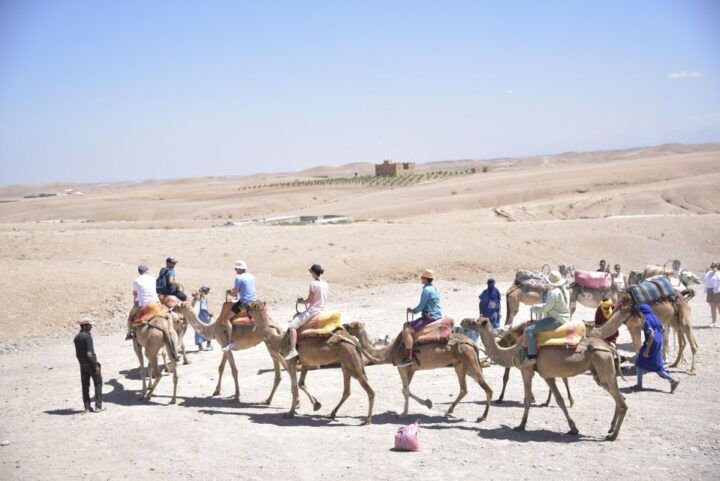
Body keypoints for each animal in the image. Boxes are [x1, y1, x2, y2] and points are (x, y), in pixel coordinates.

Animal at [245, 300, 374, 424]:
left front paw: (290, 413)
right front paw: (316, 404)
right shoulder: (305, 363)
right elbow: (301, 384)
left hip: (351, 362)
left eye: (252, 305)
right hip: (346, 364)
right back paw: (332, 413)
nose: (244, 305)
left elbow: (294, 388)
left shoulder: (291, 363)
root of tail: (354, 341)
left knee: (369, 390)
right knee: (347, 391)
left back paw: (367, 421)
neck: (279, 340)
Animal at [344, 320, 492, 422]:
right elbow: (405, 390)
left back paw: (482, 417)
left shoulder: (402, 367)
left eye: (352, 325)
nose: (344, 326)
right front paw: (423, 405)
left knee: (487, 388)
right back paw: (449, 411)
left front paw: (407, 412)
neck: (389, 352)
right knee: (464, 389)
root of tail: (472, 343)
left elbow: (405, 390)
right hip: (460, 365)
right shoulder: (411, 369)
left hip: (469, 362)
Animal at [462, 314, 624, 440]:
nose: (463, 321)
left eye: (475, 322)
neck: (512, 350)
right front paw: (573, 428)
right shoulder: (547, 375)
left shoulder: (526, 370)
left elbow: (527, 399)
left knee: (621, 402)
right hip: (601, 373)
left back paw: (613, 435)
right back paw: (610, 429)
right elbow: (559, 400)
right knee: (619, 397)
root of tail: (609, 348)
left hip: (603, 366)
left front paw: (521, 425)